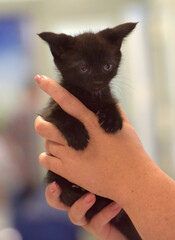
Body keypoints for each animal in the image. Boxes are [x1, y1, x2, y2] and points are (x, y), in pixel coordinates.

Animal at [39, 23, 142, 240]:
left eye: (107, 66)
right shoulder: (49, 111)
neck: (89, 97)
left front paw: (112, 120)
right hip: (55, 178)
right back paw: (75, 188)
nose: (98, 81)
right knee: (68, 193)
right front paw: (78, 136)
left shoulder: (106, 95)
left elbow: (110, 102)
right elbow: (61, 116)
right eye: (83, 69)